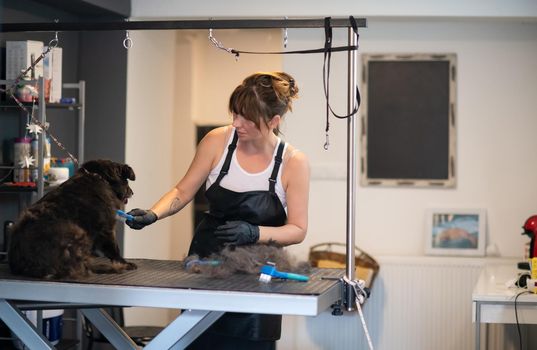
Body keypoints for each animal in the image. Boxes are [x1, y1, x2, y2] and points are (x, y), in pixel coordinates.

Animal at [8, 159, 137, 278]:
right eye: (126, 182)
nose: (132, 192)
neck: (100, 177)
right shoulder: (107, 229)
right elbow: (114, 250)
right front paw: (124, 263)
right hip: (78, 233)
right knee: (82, 267)